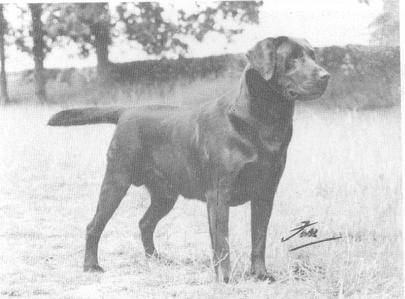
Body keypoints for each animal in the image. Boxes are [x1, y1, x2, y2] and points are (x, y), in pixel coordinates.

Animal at [47, 35, 328, 284]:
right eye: (292, 58)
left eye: (313, 55)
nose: (325, 76)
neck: (264, 120)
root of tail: (127, 110)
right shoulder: (219, 194)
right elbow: (222, 242)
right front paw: (225, 279)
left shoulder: (265, 192)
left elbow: (259, 239)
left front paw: (261, 275)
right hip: (117, 180)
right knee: (94, 225)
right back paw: (91, 266)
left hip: (165, 194)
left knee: (145, 223)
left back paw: (156, 259)